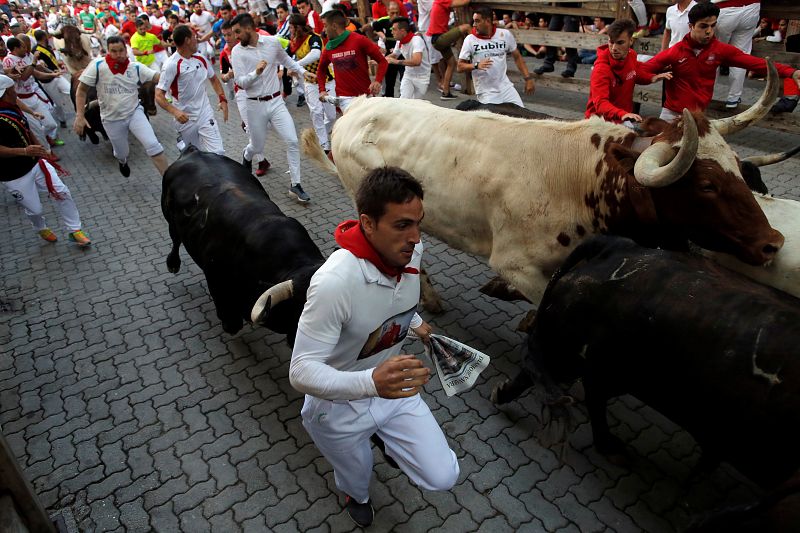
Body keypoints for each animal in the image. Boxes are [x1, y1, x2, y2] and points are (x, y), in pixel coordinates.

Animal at [161, 149, 324, 344]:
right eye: (305, 311)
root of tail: (194, 152)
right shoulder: (214, 274)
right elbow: (224, 305)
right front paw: (231, 324)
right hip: (168, 215)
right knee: (175, 238)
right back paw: (173, 264)